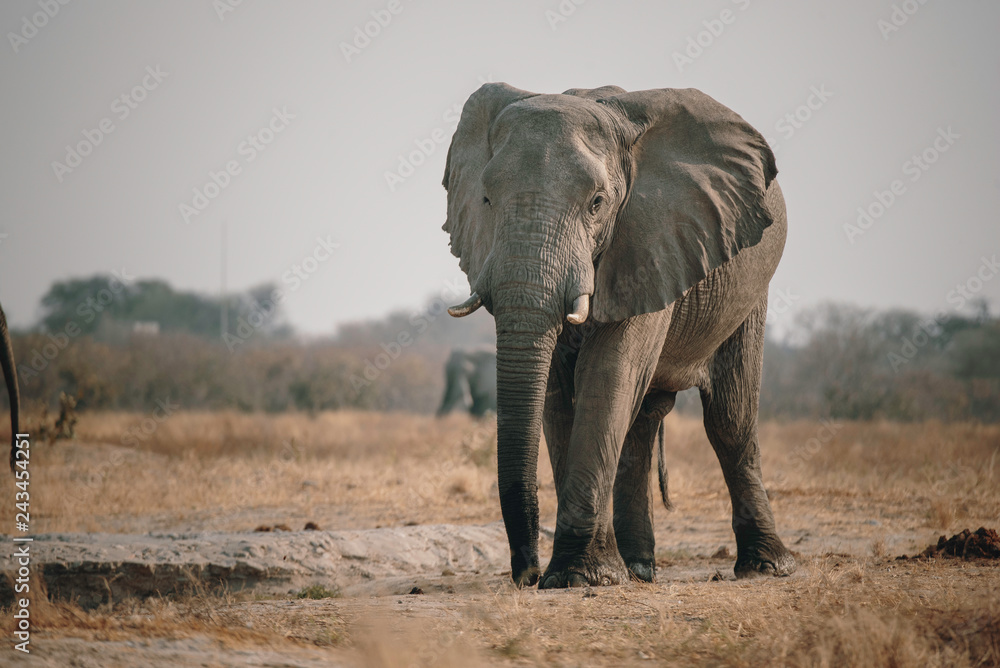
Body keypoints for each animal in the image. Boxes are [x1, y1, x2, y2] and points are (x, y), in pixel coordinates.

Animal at [441, 83, 794, 588]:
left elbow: (606, 374)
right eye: (486, 199)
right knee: (643, 421)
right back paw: (640, 568)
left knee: (730, 419)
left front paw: (580, 577)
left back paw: (765, 567)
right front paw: (584, 575)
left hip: (749, 288)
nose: (526, 574)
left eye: (597, 202)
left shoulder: (650, 241)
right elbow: (558, 390)